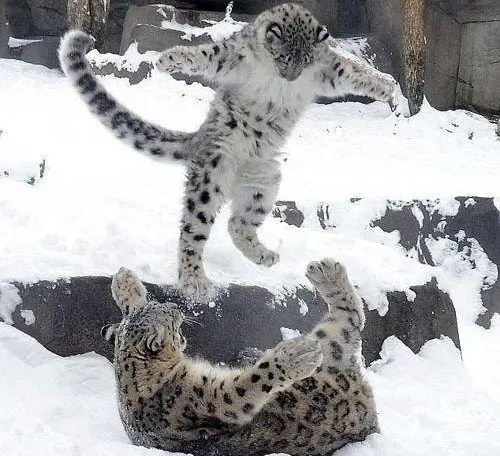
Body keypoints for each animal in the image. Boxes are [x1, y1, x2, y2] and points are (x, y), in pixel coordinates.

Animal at [57, 2, 406, 300]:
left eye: (305, 59)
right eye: (284, 57)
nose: (290, 76)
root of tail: (200, 140)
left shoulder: (327, 69)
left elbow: (352, 72)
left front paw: (385, 87)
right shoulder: (234, 56)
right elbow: (206, 53)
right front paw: (168, 59)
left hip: (265, 181)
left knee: (238, 223)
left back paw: (265, 255)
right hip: (212, 174)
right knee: (193, 230)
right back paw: (195, 280)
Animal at [105, 258, 378, 454]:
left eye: (159, 306)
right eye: (170, 317)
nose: (176, 307)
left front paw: (125, 281)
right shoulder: (207, 398)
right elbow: (250, 384)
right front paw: (290, 358)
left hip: (333, 346)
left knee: (352, 317)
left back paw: (326, 273)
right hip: (331, 348)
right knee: (351, 319)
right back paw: (303, 347)